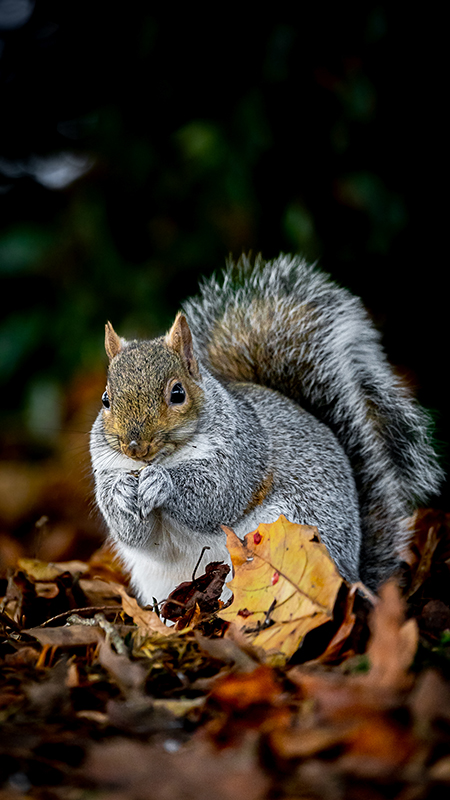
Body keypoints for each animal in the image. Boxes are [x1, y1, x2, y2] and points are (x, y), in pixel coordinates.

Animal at [89, 256, 442, 608]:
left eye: (178, 393)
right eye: (106, 399)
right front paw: (120, 492)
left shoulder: (243, 453)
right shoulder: (108, 468)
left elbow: (217, 496)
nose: (134, 446)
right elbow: (134, 534)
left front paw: (162, 482)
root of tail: (354, 578)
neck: (164, 457)